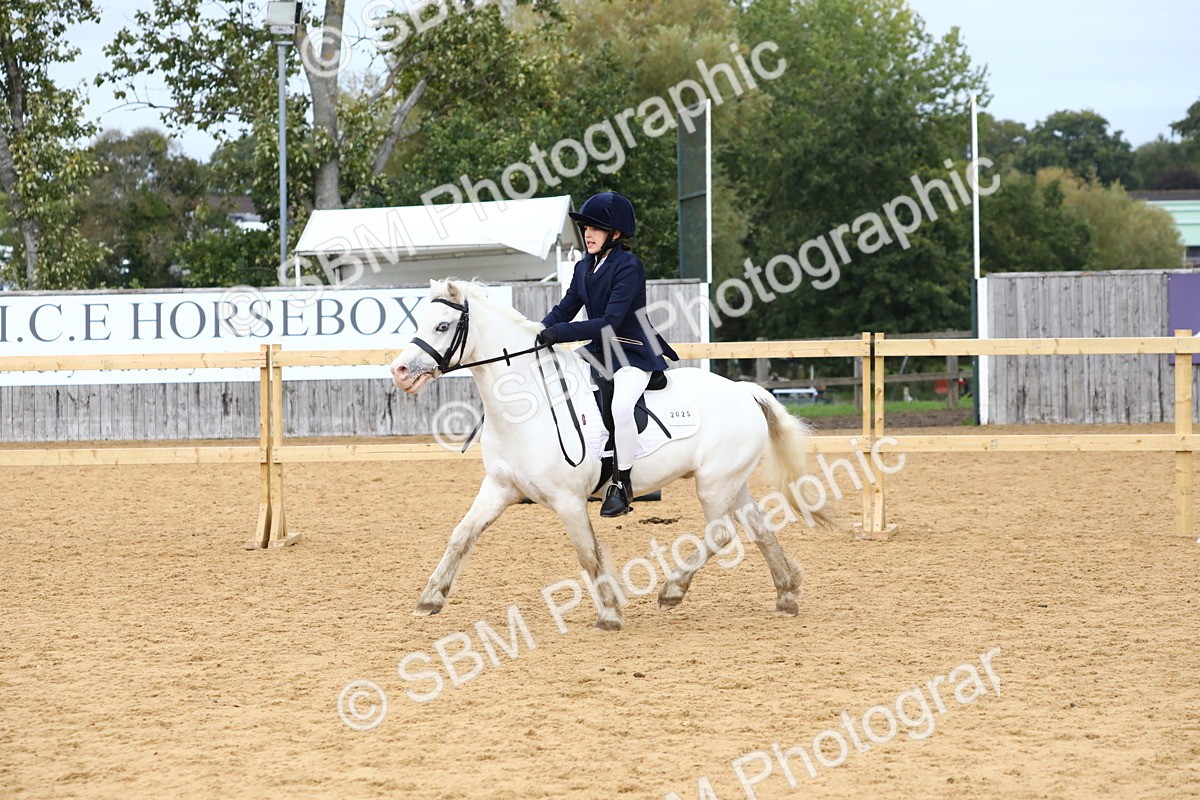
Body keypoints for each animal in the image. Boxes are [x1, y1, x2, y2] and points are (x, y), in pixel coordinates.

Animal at [390, 279, 827, 631]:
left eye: (442, 326)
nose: (399, 371)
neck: (529, 403)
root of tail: (745, 391)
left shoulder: (567, 500)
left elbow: (587, 553)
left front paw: (611, 614)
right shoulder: (499, 487)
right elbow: (461, 535)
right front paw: (430, 598)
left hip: (714, 484)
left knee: (721, 533)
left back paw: (672, 590)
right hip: (731, 483)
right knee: (759, 529)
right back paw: (787, 595)